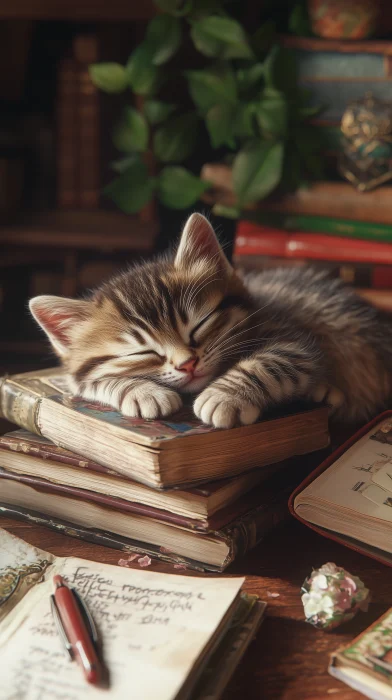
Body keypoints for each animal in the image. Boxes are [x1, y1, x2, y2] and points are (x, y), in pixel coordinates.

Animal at [29, 212, 392, 426]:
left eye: (200, 325)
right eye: (142, 352)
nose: (187, 364)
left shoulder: (294, 339)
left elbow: (267, 362)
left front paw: (224, 396)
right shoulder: (75, 377)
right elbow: (92, 381)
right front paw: (140, 392)